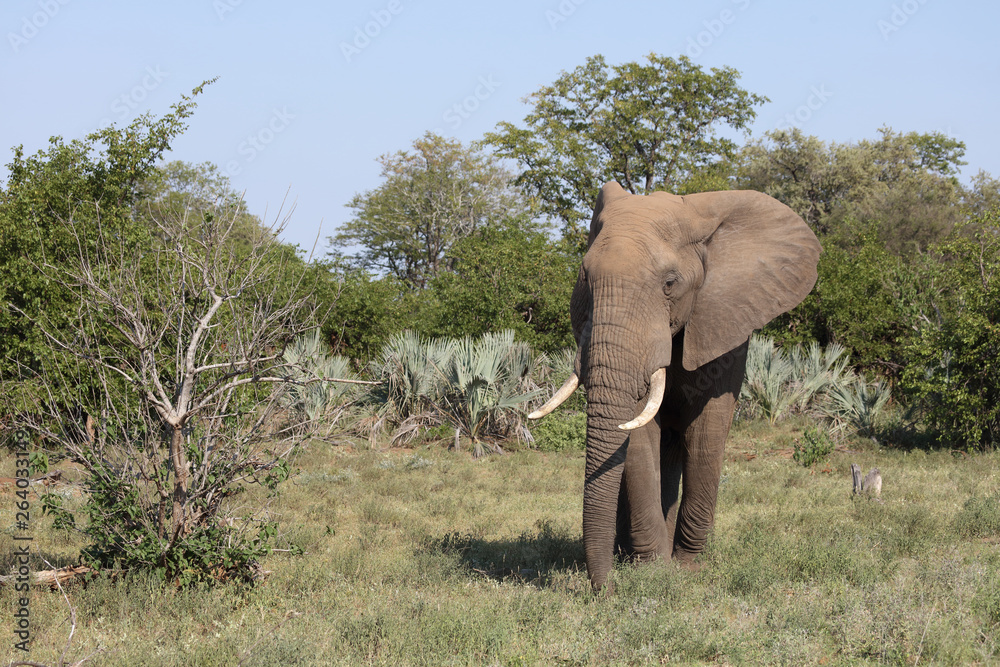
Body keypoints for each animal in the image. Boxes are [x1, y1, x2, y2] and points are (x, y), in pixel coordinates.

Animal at [529, 182, 821, 592]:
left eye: (670, 284)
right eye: (584, 279)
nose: (605, 591)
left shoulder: (723, 324)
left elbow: (706, 432)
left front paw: (687, 569)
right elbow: (638, 436)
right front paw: (653, 571)